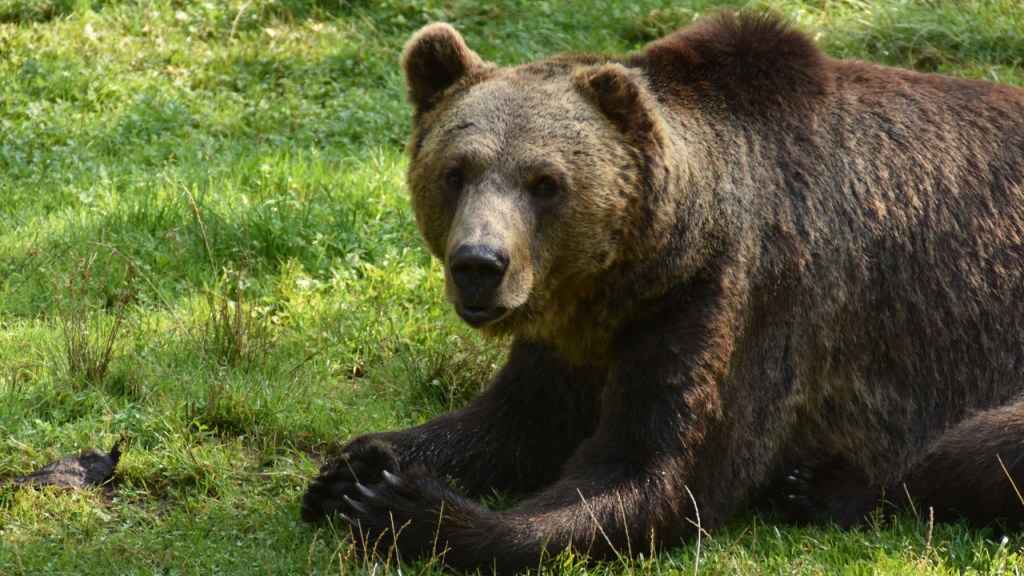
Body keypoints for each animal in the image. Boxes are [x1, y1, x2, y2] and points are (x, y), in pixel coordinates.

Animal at [301, 11, 1024, 574]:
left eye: (545, 182)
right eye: (456, 171)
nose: (480, 264)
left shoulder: (737, 301)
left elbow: (653, 472)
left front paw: (407, 509)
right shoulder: (572, 335)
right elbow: (513, 423)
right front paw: (354, 470)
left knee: (978, 448)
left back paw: (821, 487)